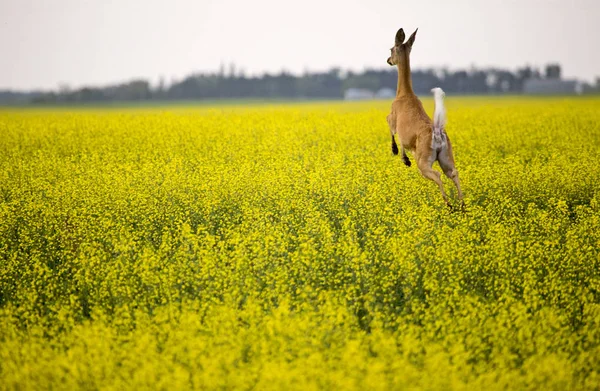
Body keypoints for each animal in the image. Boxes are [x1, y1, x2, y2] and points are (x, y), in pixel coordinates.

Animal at [384, 28, 464, 208]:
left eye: (391, 49)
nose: (388, 60)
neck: (404, 93)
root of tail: (437, 134)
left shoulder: (393, 117)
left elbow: (392, 131)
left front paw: (401, 156)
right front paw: (404, 158)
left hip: (424, 159)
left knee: (437, 175)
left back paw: (449, 205)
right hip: (446, 157)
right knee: (454, 172)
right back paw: (462, 205)